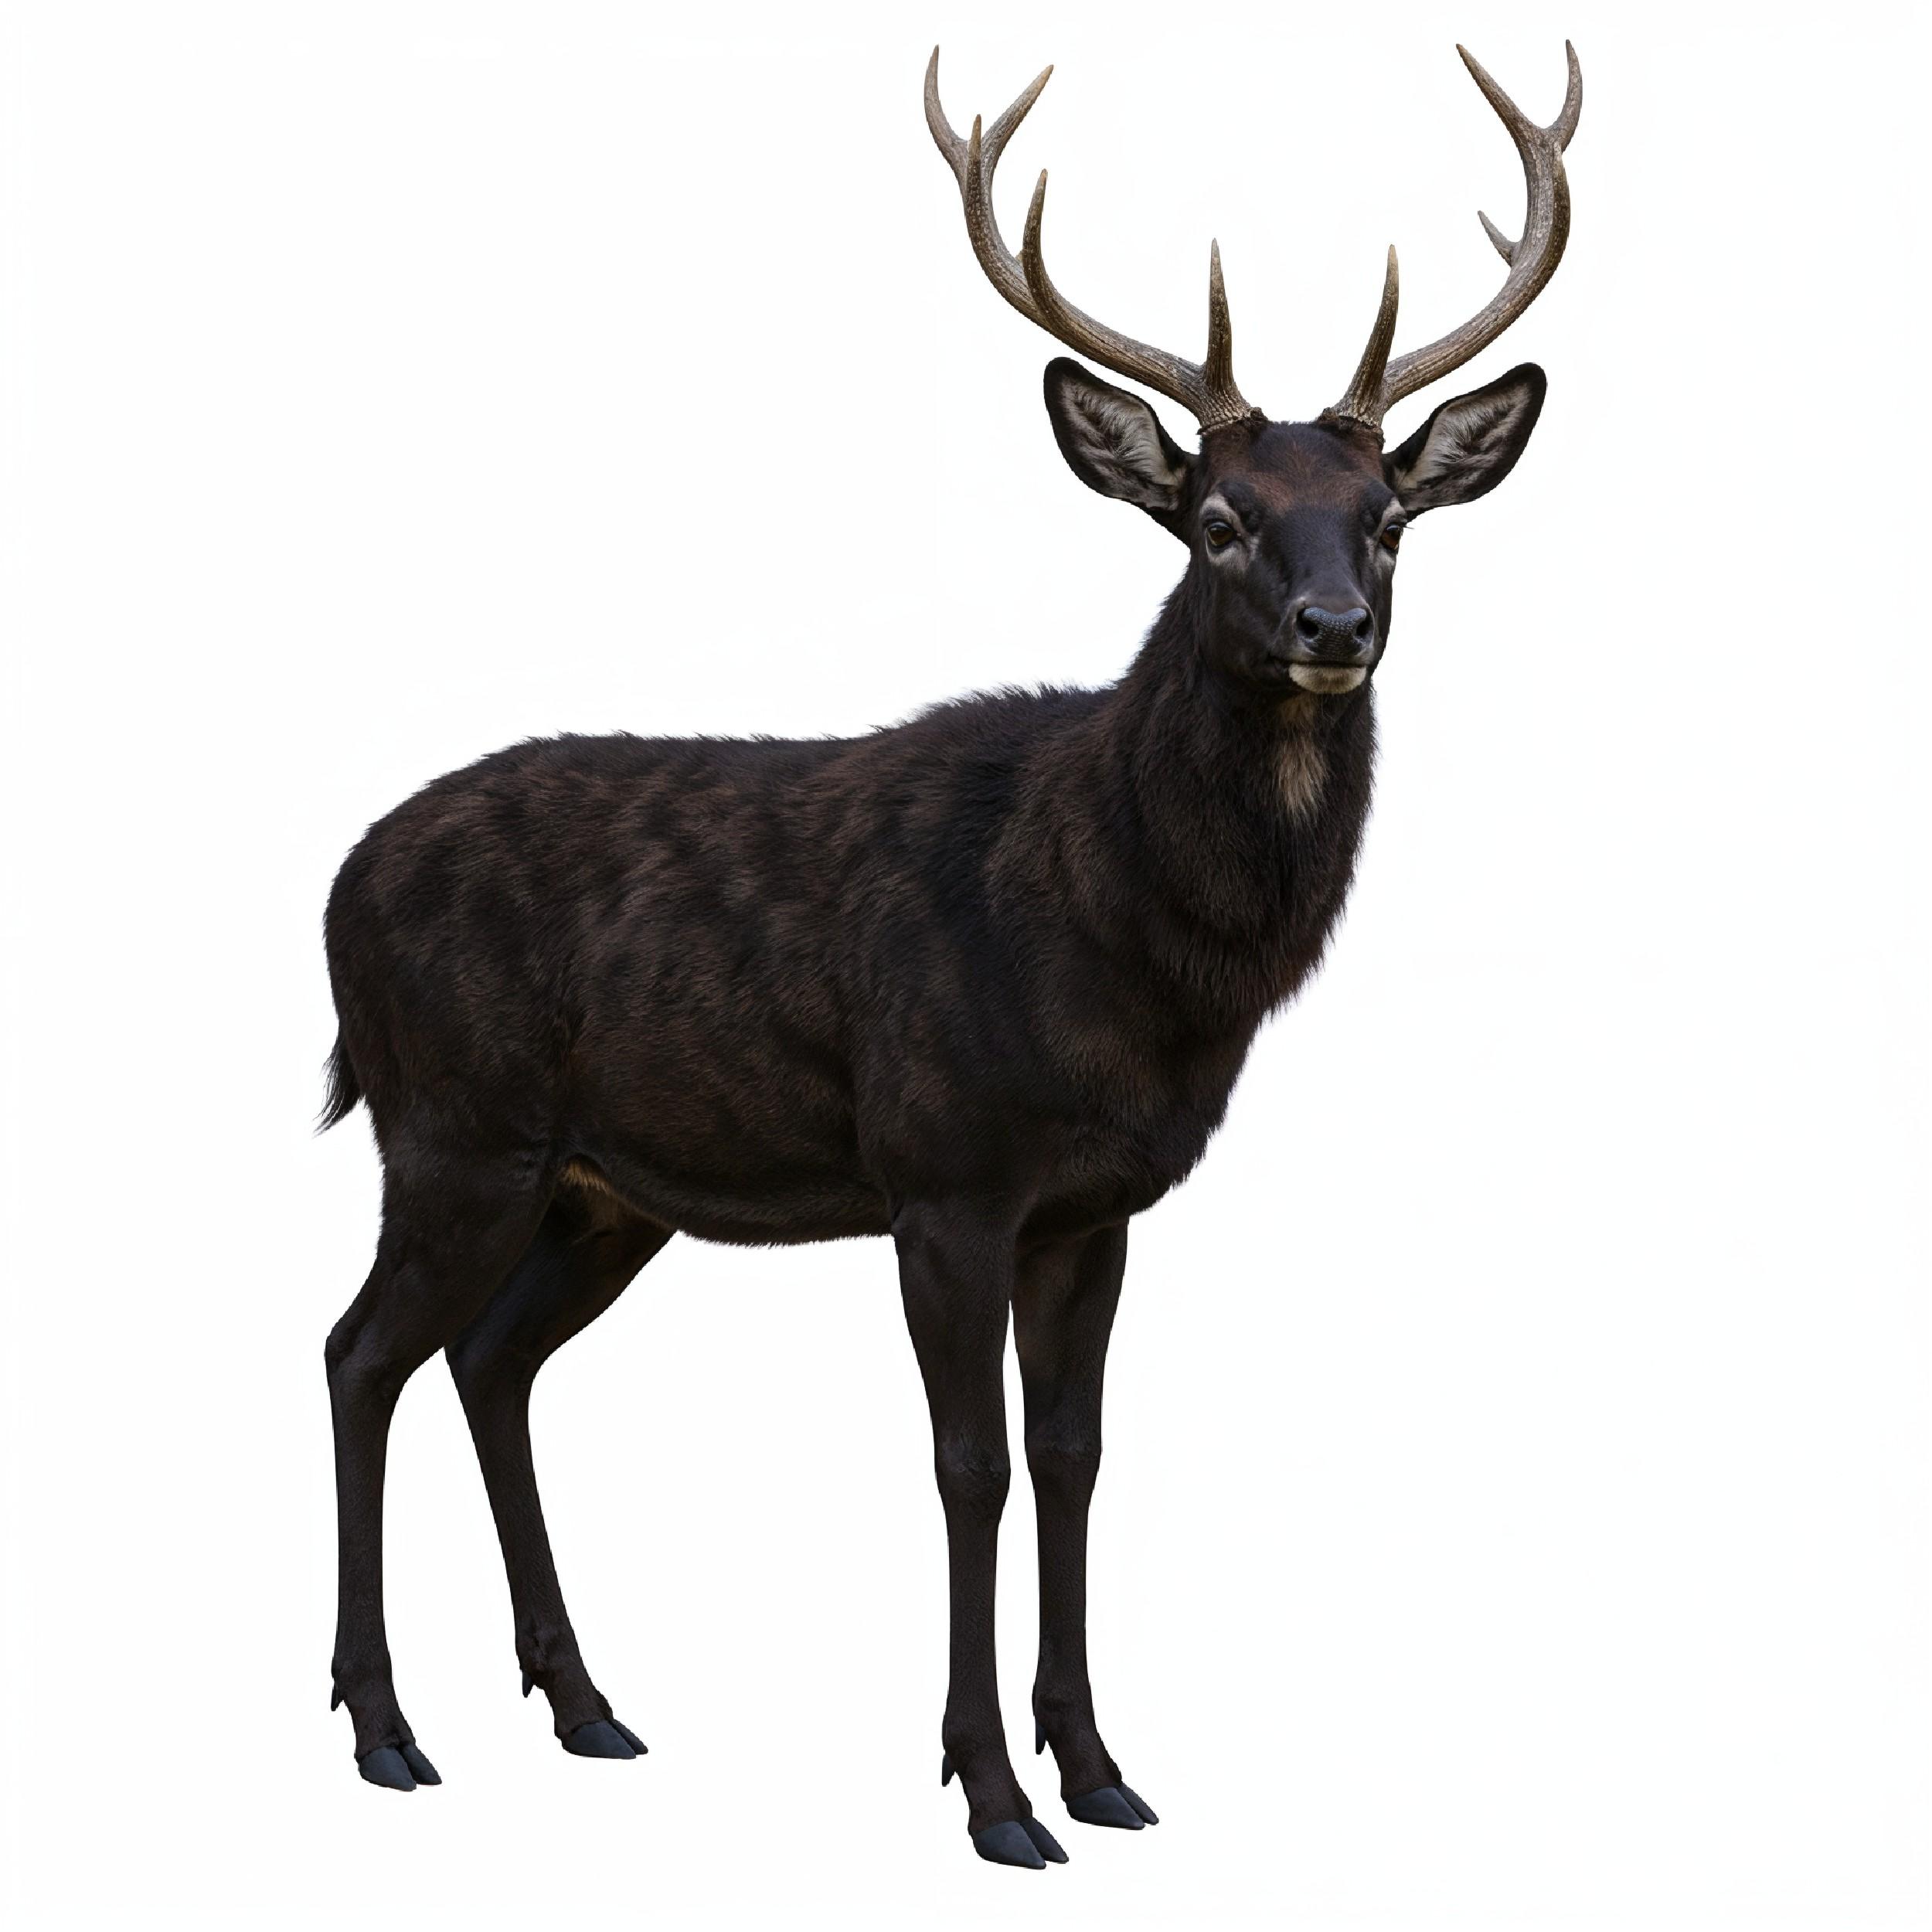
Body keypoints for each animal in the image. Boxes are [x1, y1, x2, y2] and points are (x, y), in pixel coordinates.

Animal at [318, 41, 1582, 1868]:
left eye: (1392, 516)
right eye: (1214, 520)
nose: (1332, 628)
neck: (1134, 970)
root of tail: (332, 890)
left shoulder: (1095, 1202)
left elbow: (1071, 1452)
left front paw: (1102, 1763)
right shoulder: (944, 1171)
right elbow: (966, 1463)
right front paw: (989, 1791)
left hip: (598, 1187)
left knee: (488, 1361)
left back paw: (584, 1700)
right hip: (452, 1130)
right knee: (360, 1355)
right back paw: (385, 1727)